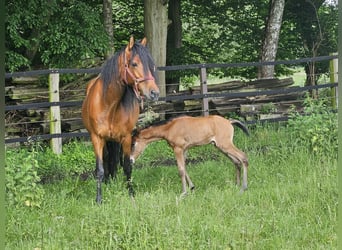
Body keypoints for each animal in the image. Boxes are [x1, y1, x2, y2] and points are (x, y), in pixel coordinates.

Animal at [82, 36, 160, 203]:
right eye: (134, 63)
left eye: (150, 65)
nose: (154, 93)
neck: (109, 105)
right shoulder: (96, 138)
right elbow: (99, 169)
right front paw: (99, 199)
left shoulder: (126, 137)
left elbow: (127, 166)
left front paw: (131, 193)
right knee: (107, 159)